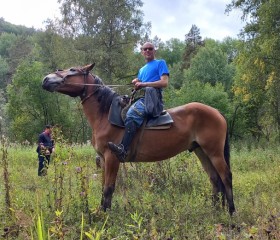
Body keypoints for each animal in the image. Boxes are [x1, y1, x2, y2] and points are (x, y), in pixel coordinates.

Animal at [42, 62, 234, 215]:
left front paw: (105, 216)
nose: (46, 79)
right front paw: (101, 212)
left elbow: (109, 188)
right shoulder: (103, 159)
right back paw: (215, 211)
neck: (105, 115)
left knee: (226, 176)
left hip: (214, 152)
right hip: (201, 151)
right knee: (215, 179)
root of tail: (216, 112)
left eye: (72, 70)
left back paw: (231, 212)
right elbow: (104, 186)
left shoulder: (112, 158)